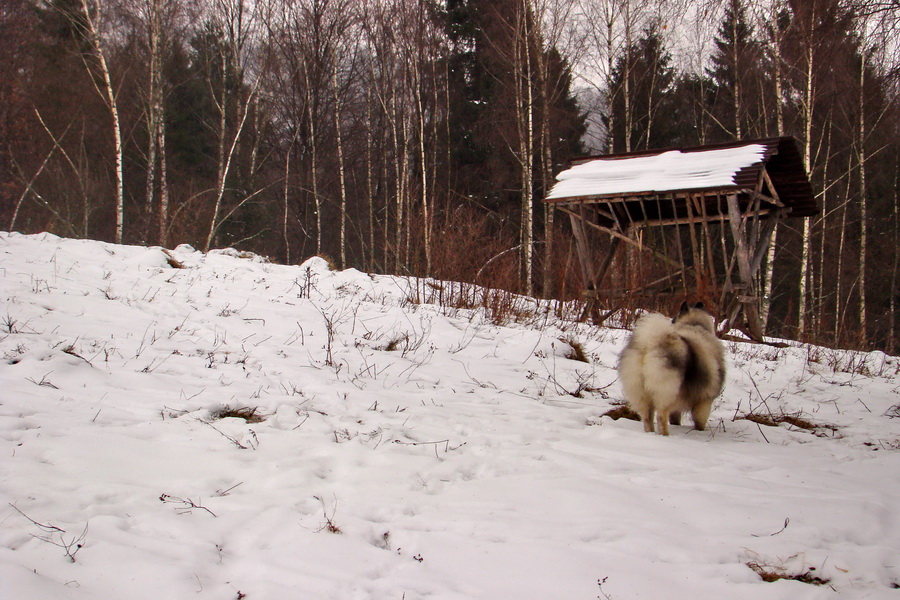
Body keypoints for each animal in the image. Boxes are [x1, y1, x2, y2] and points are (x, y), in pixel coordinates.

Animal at [620, 302, 724, 434]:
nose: (672, 321)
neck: (694, 324)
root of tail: (649, 344)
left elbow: (675, 418)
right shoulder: (704, 401)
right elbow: (699, 421)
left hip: (641, 392)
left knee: (647, 417)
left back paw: (650, 432)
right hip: (665, 392)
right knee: (661, 416)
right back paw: (665, 434)